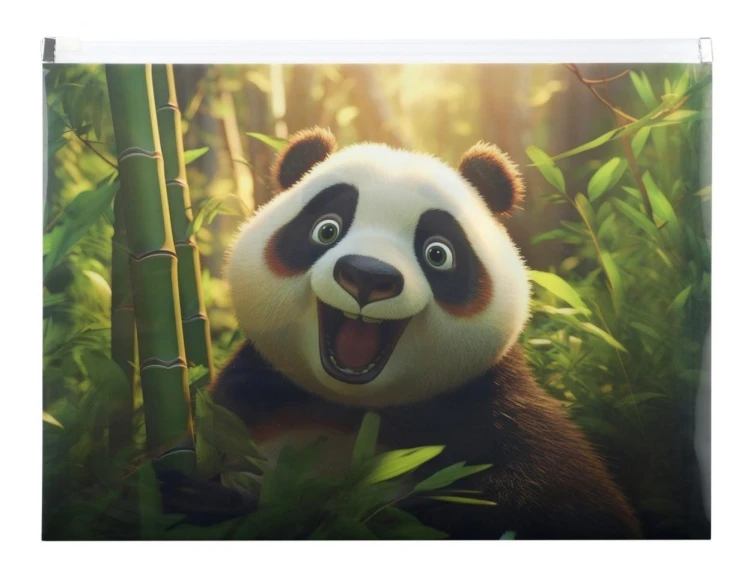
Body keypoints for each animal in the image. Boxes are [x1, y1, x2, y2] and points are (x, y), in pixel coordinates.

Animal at [210, 127, 640, 539]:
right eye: (326, 230)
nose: (367, 275)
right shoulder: (249, 397)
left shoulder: (495, 411)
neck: (356, 407)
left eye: (438, 253)